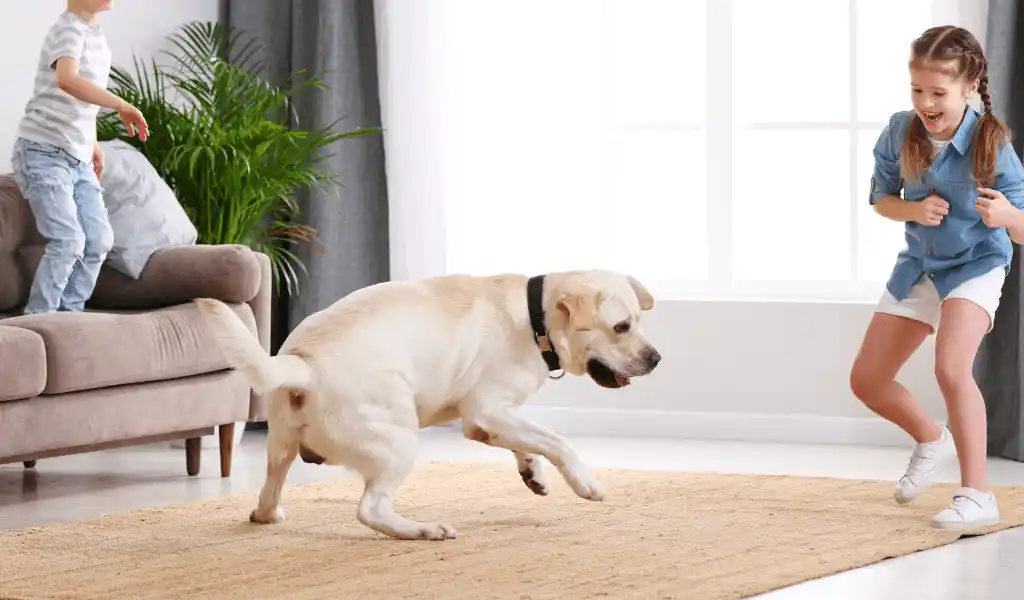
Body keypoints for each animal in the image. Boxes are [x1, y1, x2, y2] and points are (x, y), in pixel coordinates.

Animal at [194, 268, 659, 540]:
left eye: (639, 321)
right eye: (622, 326)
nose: (655, 358)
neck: (535, 319)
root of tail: (303, 366)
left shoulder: (486, 421)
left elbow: (528, 442)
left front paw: (532, 471)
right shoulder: (488, 409)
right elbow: (559, 442)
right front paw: (586, 483)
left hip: (281, 447)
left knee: (268, 492)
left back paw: (267, 515)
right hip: (399, 440)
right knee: (370, 509)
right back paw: (422, 530)